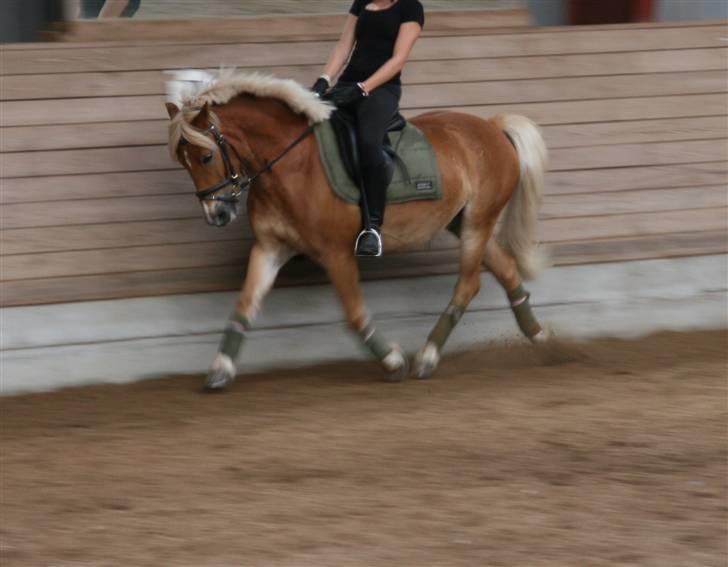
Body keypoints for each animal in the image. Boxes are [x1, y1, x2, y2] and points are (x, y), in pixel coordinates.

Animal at [166, 70, 544, 390]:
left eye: (205, 157)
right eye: (182, 162)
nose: (216, 214)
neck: (292, 164)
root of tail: (492, 127)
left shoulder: (336, 252)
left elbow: (353, 313)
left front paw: (393, 362)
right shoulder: (270, 247)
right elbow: (245, 305)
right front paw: (219, 369)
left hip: (478, 221)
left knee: (468, 284)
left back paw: (426, 358)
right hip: (464, 222)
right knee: (506, 268)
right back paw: (539, 337)